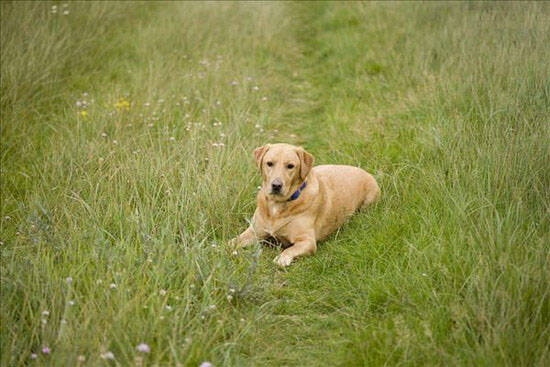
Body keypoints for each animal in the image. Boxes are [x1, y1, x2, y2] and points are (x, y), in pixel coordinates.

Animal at [231, 144, 382, 268]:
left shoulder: (307, 241)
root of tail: (363, 170)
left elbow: (289, 249)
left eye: (290, 166)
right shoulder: (254, 232)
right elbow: (234, 241)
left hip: (368, 202)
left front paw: (282, 258)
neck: (278, 205)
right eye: (269, 163)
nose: (276, 185)